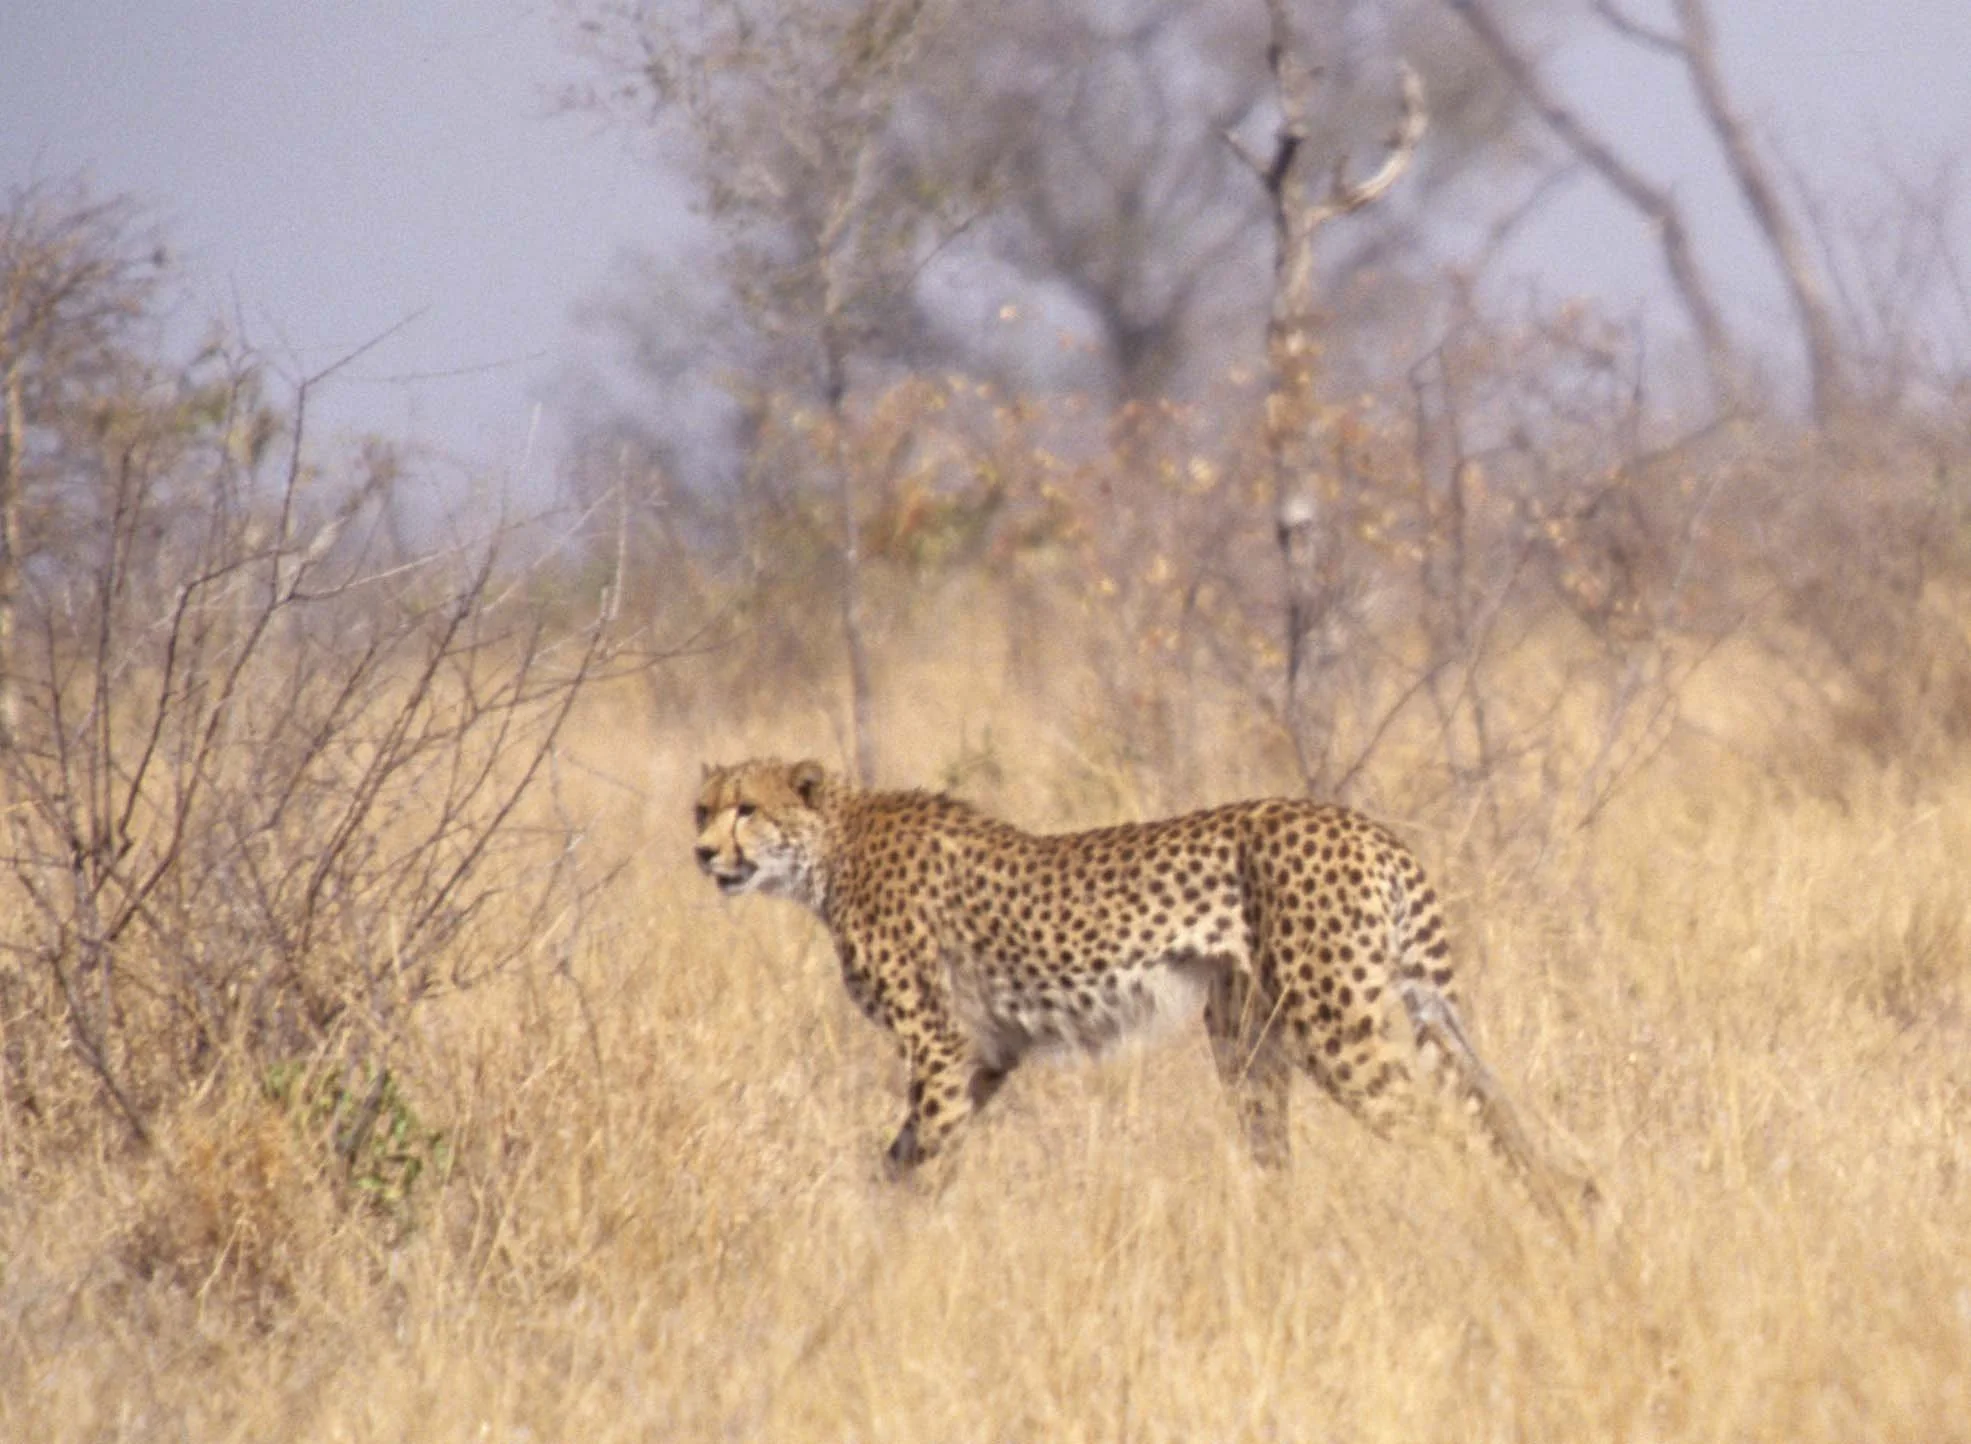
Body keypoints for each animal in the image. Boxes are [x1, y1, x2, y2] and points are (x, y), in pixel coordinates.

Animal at [693, 756, 1583, 1214]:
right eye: (702, 808)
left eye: (746, 809)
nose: (702, 853)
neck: (830, 849)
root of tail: (1361, 823)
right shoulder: (985, 1052)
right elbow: (901, 1154)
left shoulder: (941, 1046)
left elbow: (927, 1159)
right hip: (1250, 1037)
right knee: (1289, 1151)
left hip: (1336, 1027)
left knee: (1446, 1131)